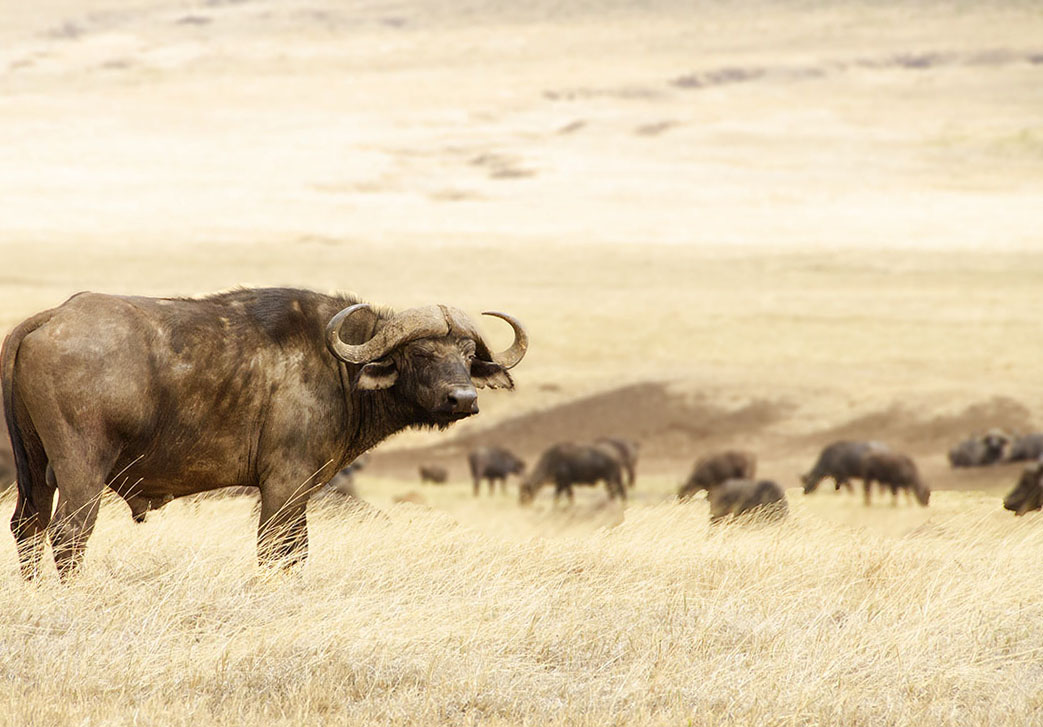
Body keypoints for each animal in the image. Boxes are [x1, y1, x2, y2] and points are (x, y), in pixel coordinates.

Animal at [2, 288, 527, 580]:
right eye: (420, 353)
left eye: (466, 354)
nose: (463, 399)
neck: (337, 367)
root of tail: (49, 318)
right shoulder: (284, 484)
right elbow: (278, 551)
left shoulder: (301, 490)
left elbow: (297, 551)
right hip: (81, 468)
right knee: (70, 533)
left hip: (34, 469)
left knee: (28, 527)